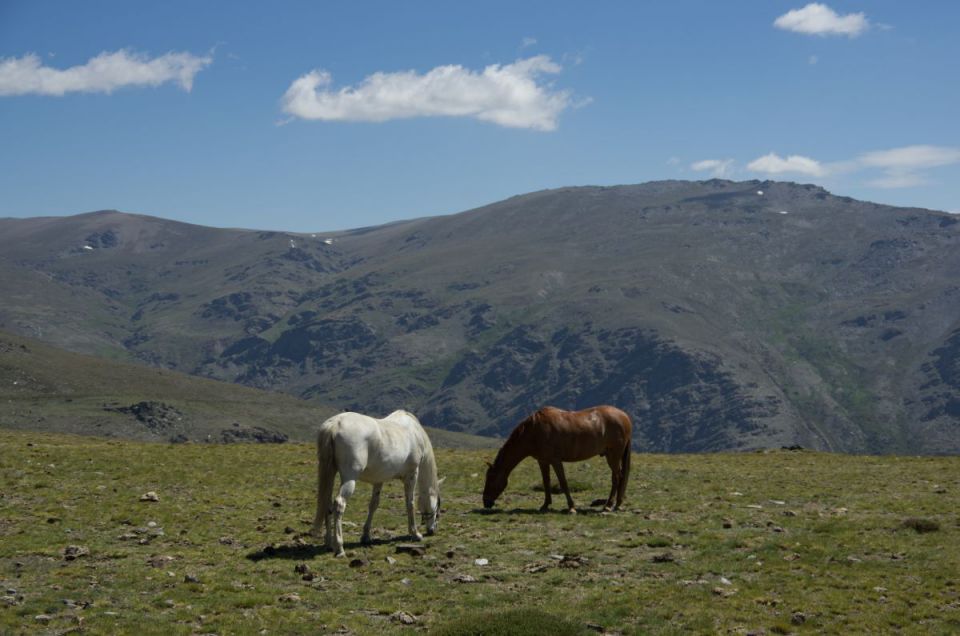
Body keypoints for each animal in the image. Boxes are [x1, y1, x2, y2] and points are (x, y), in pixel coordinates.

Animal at [314, 412, 440, 556]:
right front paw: (415, 533)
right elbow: (410, 503)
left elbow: (373, 505)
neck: (414, 432)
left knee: (327, 504)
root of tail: (335, 424)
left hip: (330, 472)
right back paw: (340, 548)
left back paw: (329, 543)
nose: (432, 530)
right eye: (437, 508)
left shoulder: (379, 480)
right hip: (349, 479)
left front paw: (366, 536)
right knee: (339, 504)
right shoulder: (412, 475)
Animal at [484, 408, 632, 512]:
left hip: (613, 456)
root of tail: (625, 417)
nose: (485, 502)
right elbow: (546, 482)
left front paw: (571, 507)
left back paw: (609, 505)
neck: (534, 432)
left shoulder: (555, 461)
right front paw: (545, 505)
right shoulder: (543, 461)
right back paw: (617, 504)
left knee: (616, 477)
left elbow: (563, 482)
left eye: (490, 479)